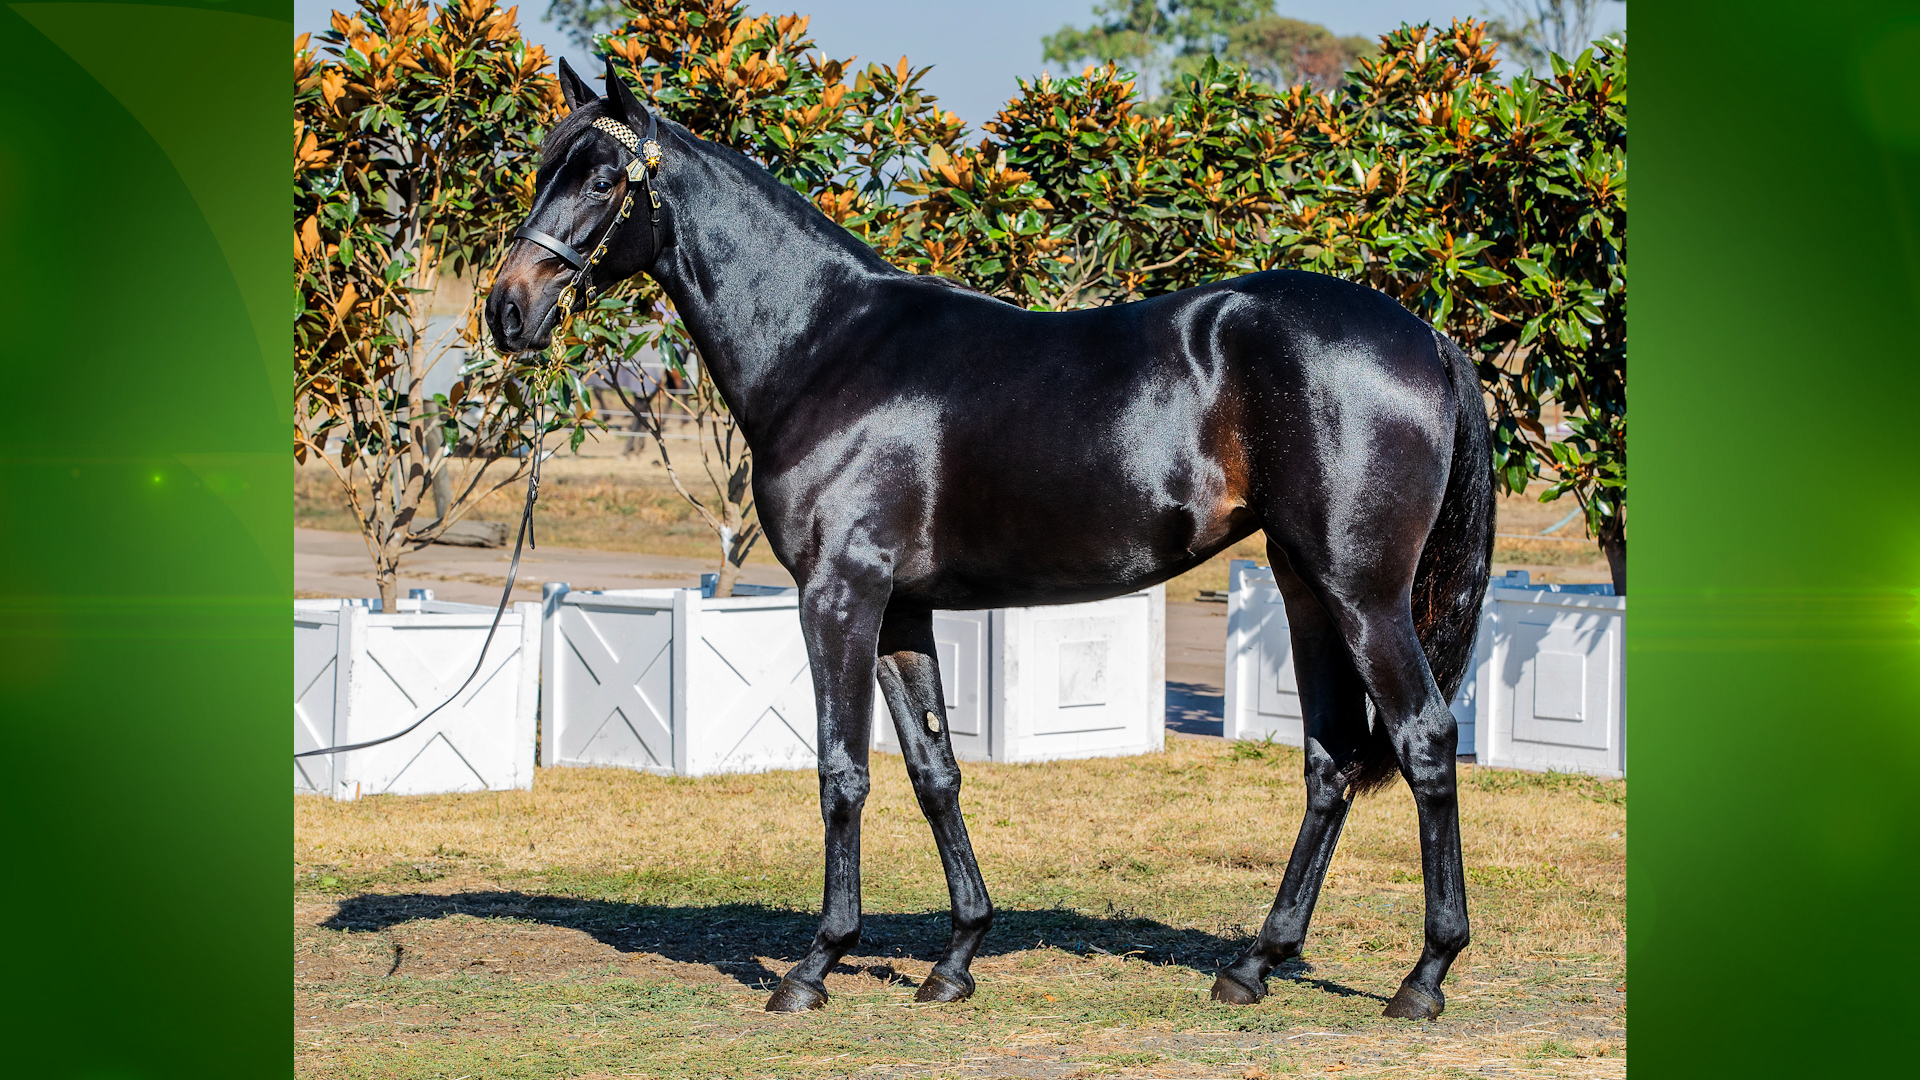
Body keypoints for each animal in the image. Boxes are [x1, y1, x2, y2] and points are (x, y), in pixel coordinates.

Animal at [487, 59, 1494, 1020]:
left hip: (1362, 594)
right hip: (1305, 587)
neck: (825, 345)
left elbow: (842, 773)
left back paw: (1426, 975)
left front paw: (815, 966)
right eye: (543, 171)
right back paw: (1255, 964)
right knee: (1331, 760)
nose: (507, 311)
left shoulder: (838, 594)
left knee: (1424, 740)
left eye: (604, 178)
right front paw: (957, 957)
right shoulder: (901, 611)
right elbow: (935, 771)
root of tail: (1426, 335)